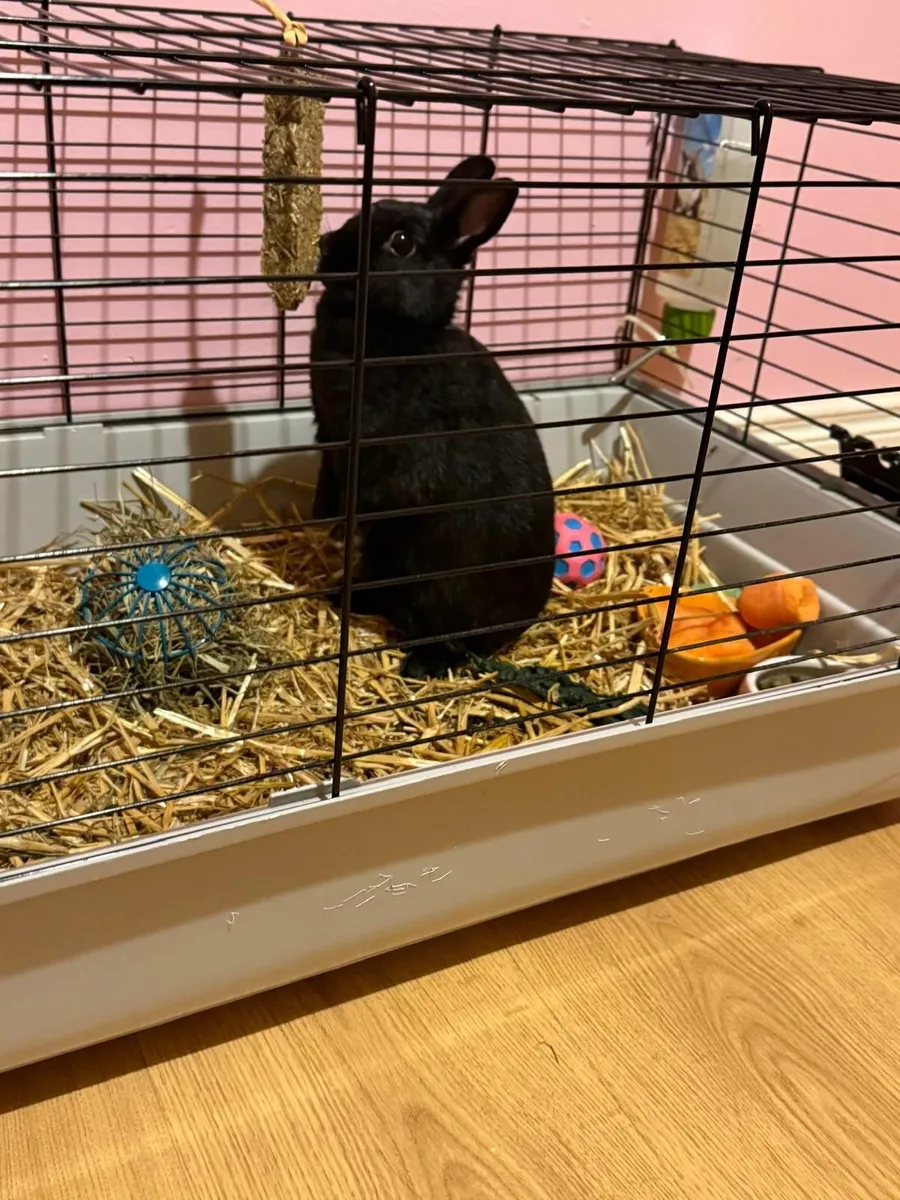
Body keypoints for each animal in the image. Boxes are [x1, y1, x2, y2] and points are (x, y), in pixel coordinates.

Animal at [310, 154, 555, 679]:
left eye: (401, 243)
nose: (325, 247)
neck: (396, 337)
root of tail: (519, 625)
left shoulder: (401, 460)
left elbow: (380, 496)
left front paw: (339, 534)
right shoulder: (331, 444)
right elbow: (330, 487)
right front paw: (327, 527)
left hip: (441, 591)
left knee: (452, 642)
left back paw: (418, 665)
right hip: (387, 563)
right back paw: (341, 597)